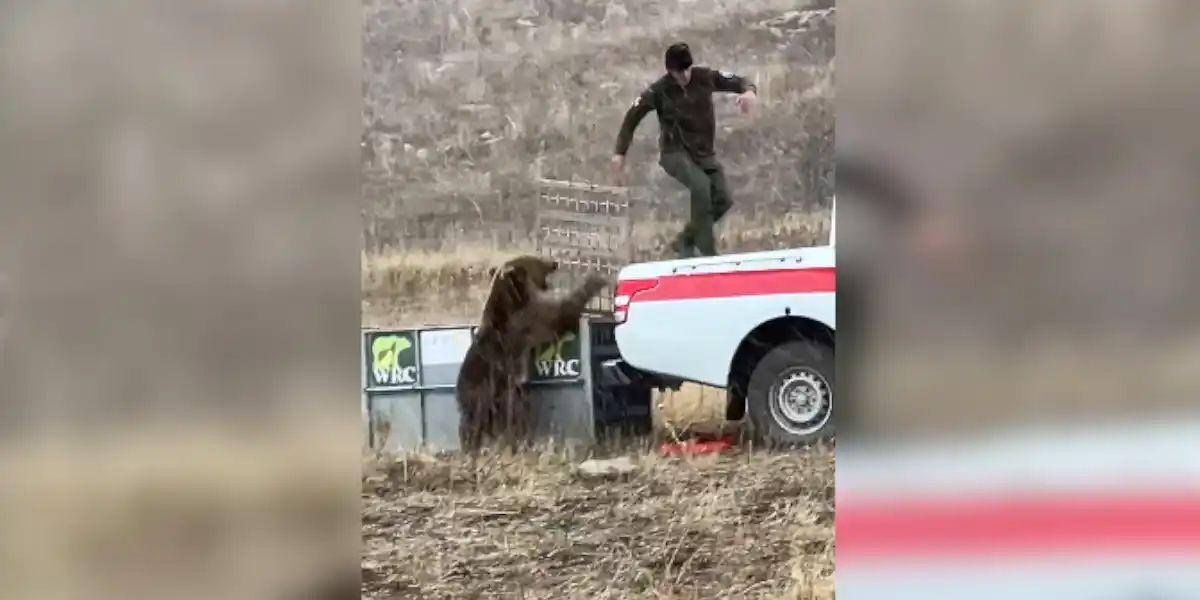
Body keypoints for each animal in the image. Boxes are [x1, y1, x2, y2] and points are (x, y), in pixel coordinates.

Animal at [456, 255, 614, 451]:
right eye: (536, 260)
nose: (554, 262)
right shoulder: (529, 321)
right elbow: (561, 313)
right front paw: (595, 278)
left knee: (469, 426)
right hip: (492, 394)